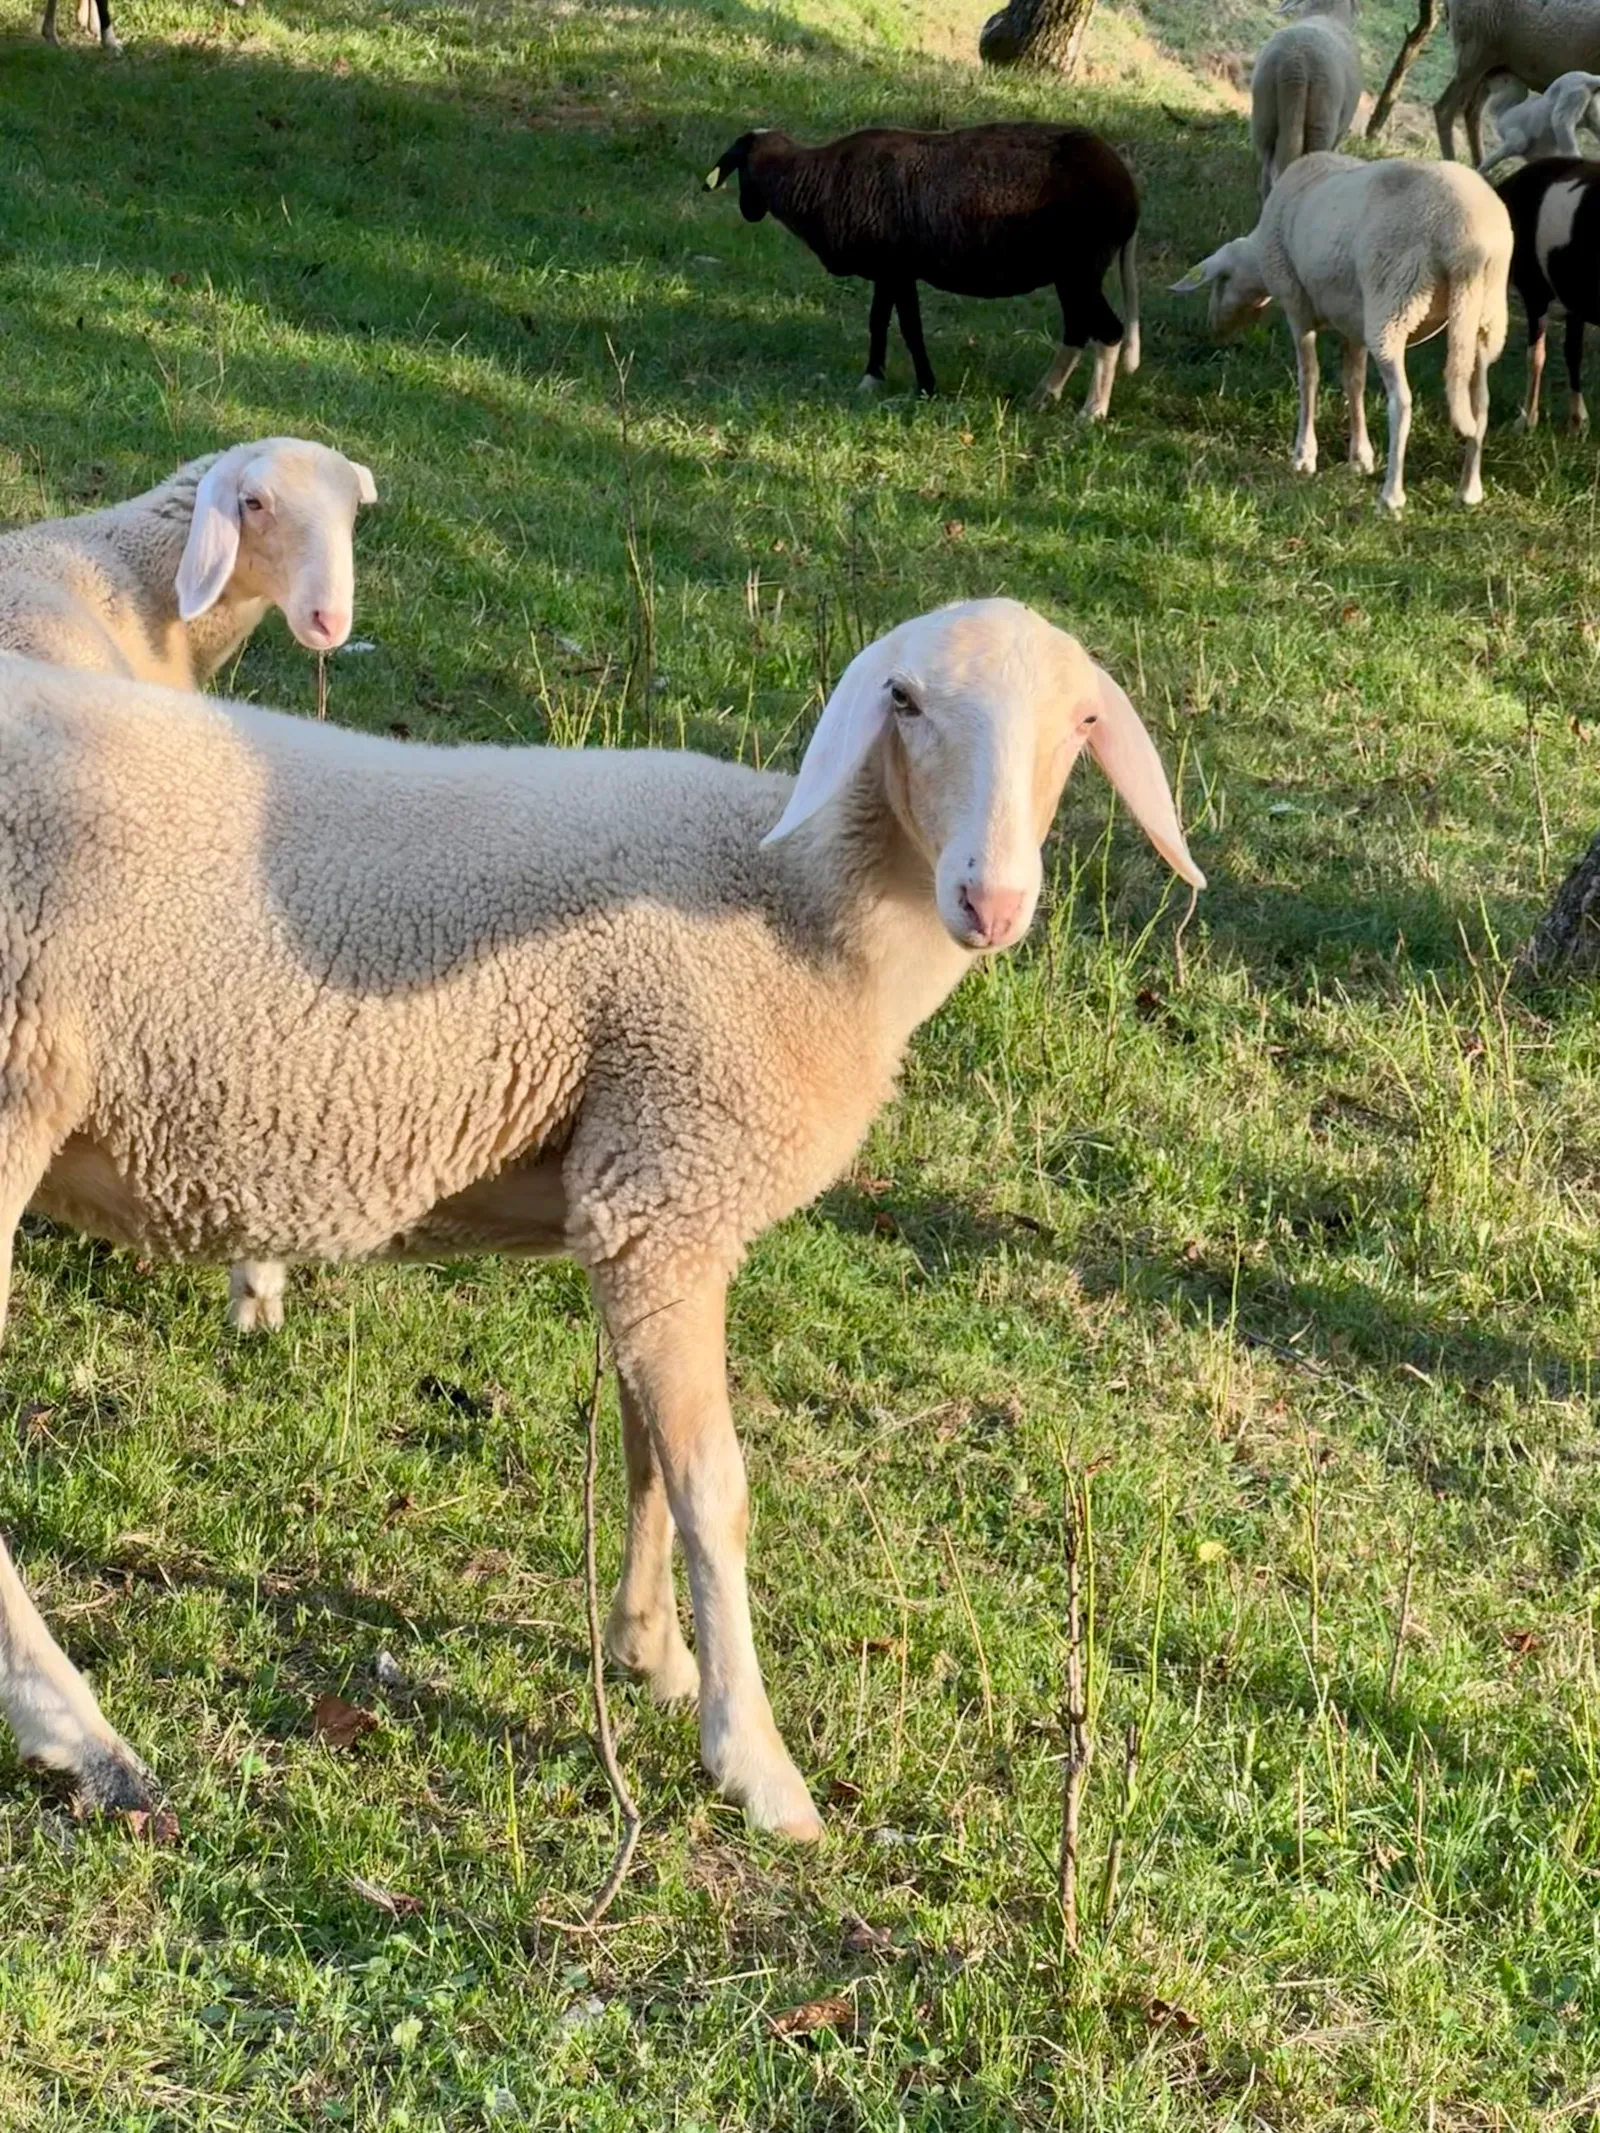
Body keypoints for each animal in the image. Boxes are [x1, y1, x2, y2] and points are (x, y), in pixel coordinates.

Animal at [0, 600, 1203, 1832]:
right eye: (904, 702)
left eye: (1082, 723)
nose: (992, 902)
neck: (800, 907)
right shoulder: (670, 1181)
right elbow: (713, 1487)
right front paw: (753, 1759)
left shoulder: (644, 1208)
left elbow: (646, 1454)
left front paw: (650, 1653)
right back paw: (77, 1731)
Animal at [704, 123, 1140, 418]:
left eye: (739, 168)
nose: (749, 211)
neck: (813, 181)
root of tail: (1129, 195)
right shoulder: (893, 271)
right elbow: (886, 323)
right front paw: (885, 381)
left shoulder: (895, 267)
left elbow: (904, 328)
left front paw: (912, 386)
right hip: (1071, 274)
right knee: (1078, 328)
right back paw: (1043, 396)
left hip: (1081, 268)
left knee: (1108, 330)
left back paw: (1091, 413)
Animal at [1174, 152, 1512, 514]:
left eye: (1221, 281)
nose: (1214, 329)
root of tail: (1466, 244)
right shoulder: (1355, 320)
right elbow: (1354, 381)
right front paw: (1360, 457)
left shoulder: (1297, 304)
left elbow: (1309, 376)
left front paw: (1304, 456)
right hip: (1484, 317)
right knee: (1481, 403)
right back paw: (1469, 490)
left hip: (1394, 304)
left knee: (1402, 403)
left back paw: (1391, 497)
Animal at [1496, 156, 1600, 432]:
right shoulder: (1572, 299)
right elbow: (1572, 353)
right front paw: (1577, 421)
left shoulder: (1535, 293)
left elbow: (1536, 356)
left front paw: (1527, 420)